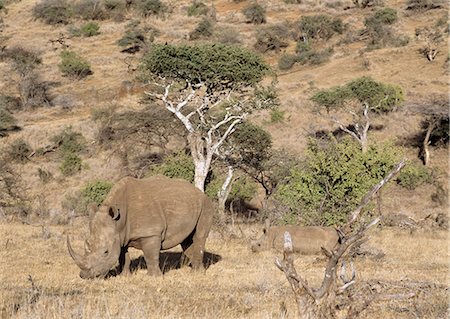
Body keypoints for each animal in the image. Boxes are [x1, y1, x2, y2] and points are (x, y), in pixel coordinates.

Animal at [67, 176, 214, 278]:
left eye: (105, 252)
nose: (85, 276)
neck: (118, 222)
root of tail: (199, 191)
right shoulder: (120, 236)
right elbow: (123, 257)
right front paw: (124, 276)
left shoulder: (151, 233)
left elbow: (150, 255)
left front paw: (153, 277)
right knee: (187, 240)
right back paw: (192, 269)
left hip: (205, 203)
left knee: (199, 237)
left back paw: (197, 273)